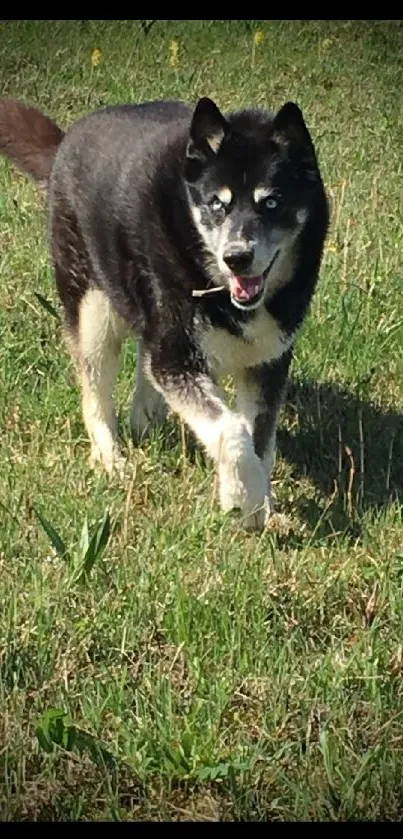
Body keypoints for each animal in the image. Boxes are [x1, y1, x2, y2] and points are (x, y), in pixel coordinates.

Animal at [0, 97, 328, 532]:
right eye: (217, 204)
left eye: (271, 202)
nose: (236, 258)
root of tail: (65, 142)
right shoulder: (177, 354)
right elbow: (230, 428)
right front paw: (243, 498)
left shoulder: (268, 359)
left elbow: (259, 437)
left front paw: (257, 501)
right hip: (93, 308)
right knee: (96, 389)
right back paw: (110, 457)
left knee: (145, 357)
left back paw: (146, 414)